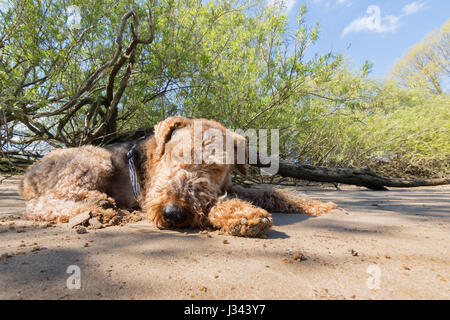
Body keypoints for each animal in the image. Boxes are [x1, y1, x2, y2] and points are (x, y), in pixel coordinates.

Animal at [19, 116, 336, 236]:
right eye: (175, 154)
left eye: (215, 167)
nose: (172, 213)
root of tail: (26, 175)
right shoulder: (151, 194)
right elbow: (217, 204)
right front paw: (245, 216)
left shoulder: (228, 186)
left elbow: (271, 192)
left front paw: (317, 204)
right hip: (95, 159)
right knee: (42, 205)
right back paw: (102, 207)